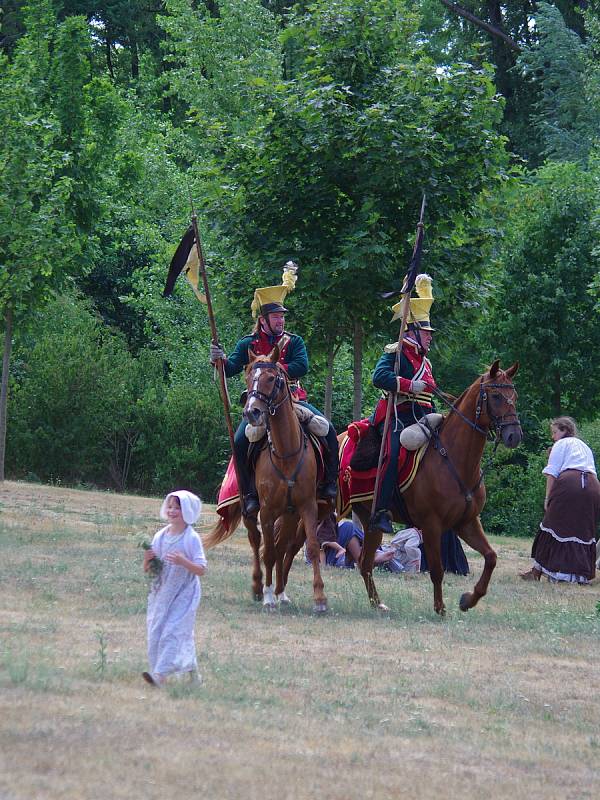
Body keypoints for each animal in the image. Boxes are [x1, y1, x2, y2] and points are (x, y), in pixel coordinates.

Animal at [205, 348, 328, 612]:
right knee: (256, 542)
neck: (286, 452)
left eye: (272, 379)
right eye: (249, 376)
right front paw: (268, 596)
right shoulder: (267, 511)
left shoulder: (306, 507)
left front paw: (319, 598)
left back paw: (281, 592)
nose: (251, 412)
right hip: (249, 510)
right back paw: (258, 587)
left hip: (290, 515)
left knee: (282, 546)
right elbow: (268, 551)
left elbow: (311, 548)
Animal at [352, 360, 520, 616]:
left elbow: (491, 557)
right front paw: (440, 608)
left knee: (365, 563)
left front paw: (468, 600)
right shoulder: (431, 525)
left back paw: (377, 604)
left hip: (370, 522)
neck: (454, 460)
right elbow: (438, 570)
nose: (514, 435)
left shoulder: (466, 522)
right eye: (496, 395)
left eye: (515, 395)